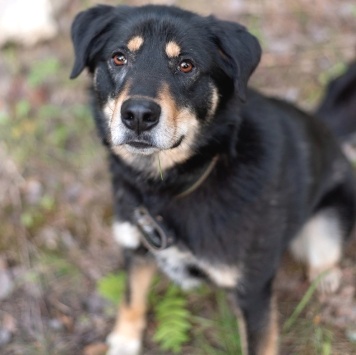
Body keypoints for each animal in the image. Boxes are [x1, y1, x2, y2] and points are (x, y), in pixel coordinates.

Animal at [69, 5, 356, 355]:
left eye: (186, 64)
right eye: (119, 57)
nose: (137, 115)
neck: (167, 187)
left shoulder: (253, 290)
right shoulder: (135, 246)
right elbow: (132, 295)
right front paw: (125, 339)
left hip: (327, 221)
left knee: (324, 256)